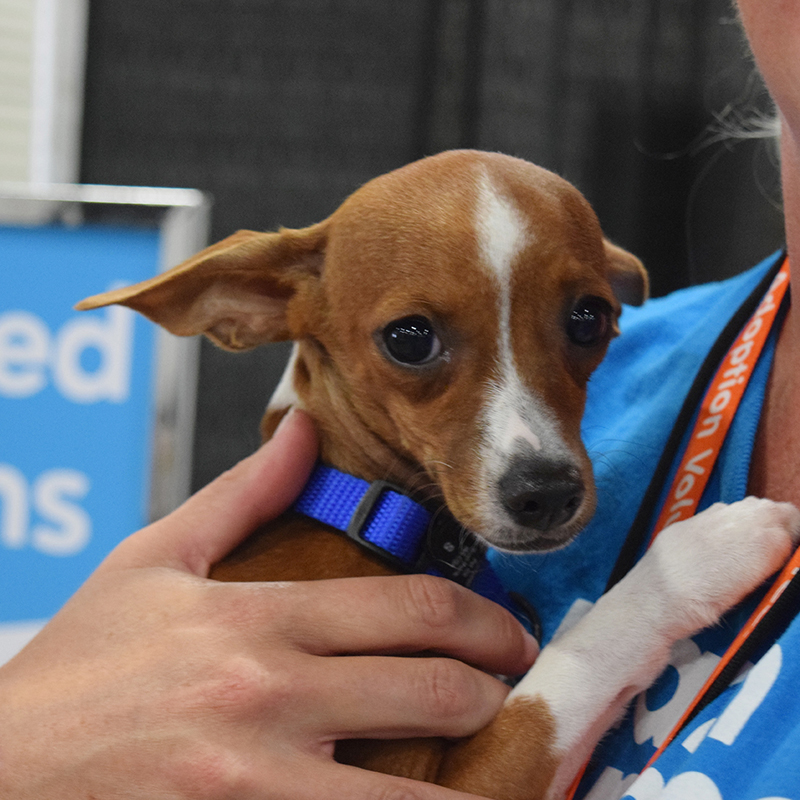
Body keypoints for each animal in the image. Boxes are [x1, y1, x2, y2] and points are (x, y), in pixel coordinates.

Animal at [76, 152, 800, 800]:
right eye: (409, 337)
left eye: (590, 318)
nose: (545, 493)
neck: (374, 510)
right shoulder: (440, 780)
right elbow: (570, 667)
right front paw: (700, 555)